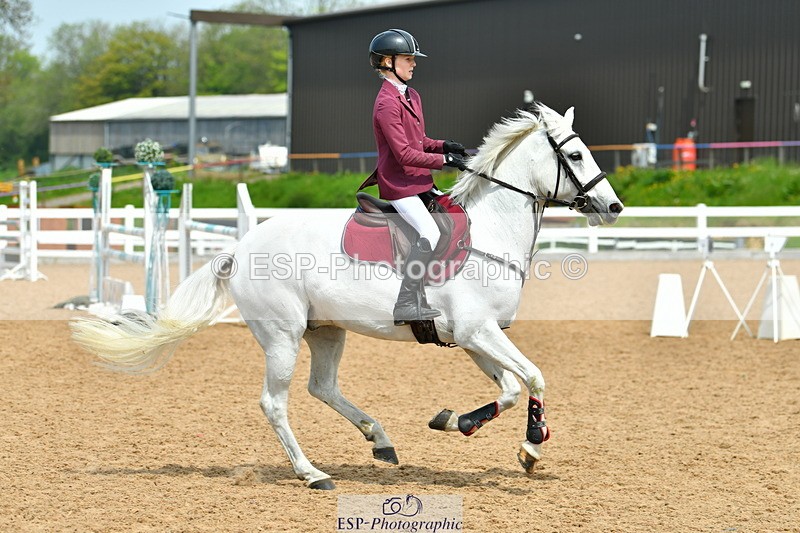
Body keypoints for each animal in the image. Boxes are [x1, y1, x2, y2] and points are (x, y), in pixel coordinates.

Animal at [71, 102, 623, 490]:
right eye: (575, 155)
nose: (613, 206)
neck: (490, 231)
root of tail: (241, 248)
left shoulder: (474, 337)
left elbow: (509, 388)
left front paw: (454, 421)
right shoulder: (477, 331)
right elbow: (534, 376)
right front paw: (531, 448)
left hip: (326, 331)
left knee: (323, 388)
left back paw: (380, 441)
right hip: (283, 335)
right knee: (275, 402)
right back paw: (312, 473)